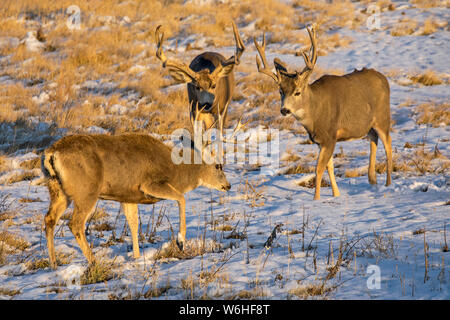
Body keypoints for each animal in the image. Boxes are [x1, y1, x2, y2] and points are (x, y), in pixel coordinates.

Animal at [40, 132, 230, 268]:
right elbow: (181, 198)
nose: (228, 185)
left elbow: (133, 224)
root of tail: (52, 153)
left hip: (58, 191)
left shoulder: (127, 197)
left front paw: (137, 257)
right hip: (86, 191)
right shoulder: (150, 184)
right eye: (218, 166)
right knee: (75, 224)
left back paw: (53, 264)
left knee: (49, 219)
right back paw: (94, 262)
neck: (176, 172)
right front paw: (181, 241)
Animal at [255, 25, 392, 200]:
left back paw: (388, 184)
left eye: (297, 92)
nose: (284, 110)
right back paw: (372, 180)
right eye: (280, 91)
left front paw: (316, 199)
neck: (314, 115)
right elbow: (329, 167)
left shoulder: (330, 136)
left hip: (382, 117)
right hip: (368, 125)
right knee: (374, 139)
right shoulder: (321, 140)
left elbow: (319, 169)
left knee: (388, 144)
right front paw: (336, 194)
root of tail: (384, 79)